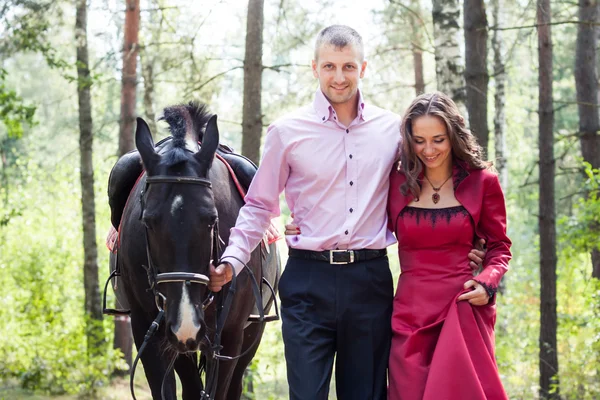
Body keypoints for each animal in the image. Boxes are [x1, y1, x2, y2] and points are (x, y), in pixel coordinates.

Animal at [115, 104, 282, 400]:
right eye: (148, 221)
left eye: (211, 219)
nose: (186, 324)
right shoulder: (151, 330)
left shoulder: (229, 336)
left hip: (250, 335)